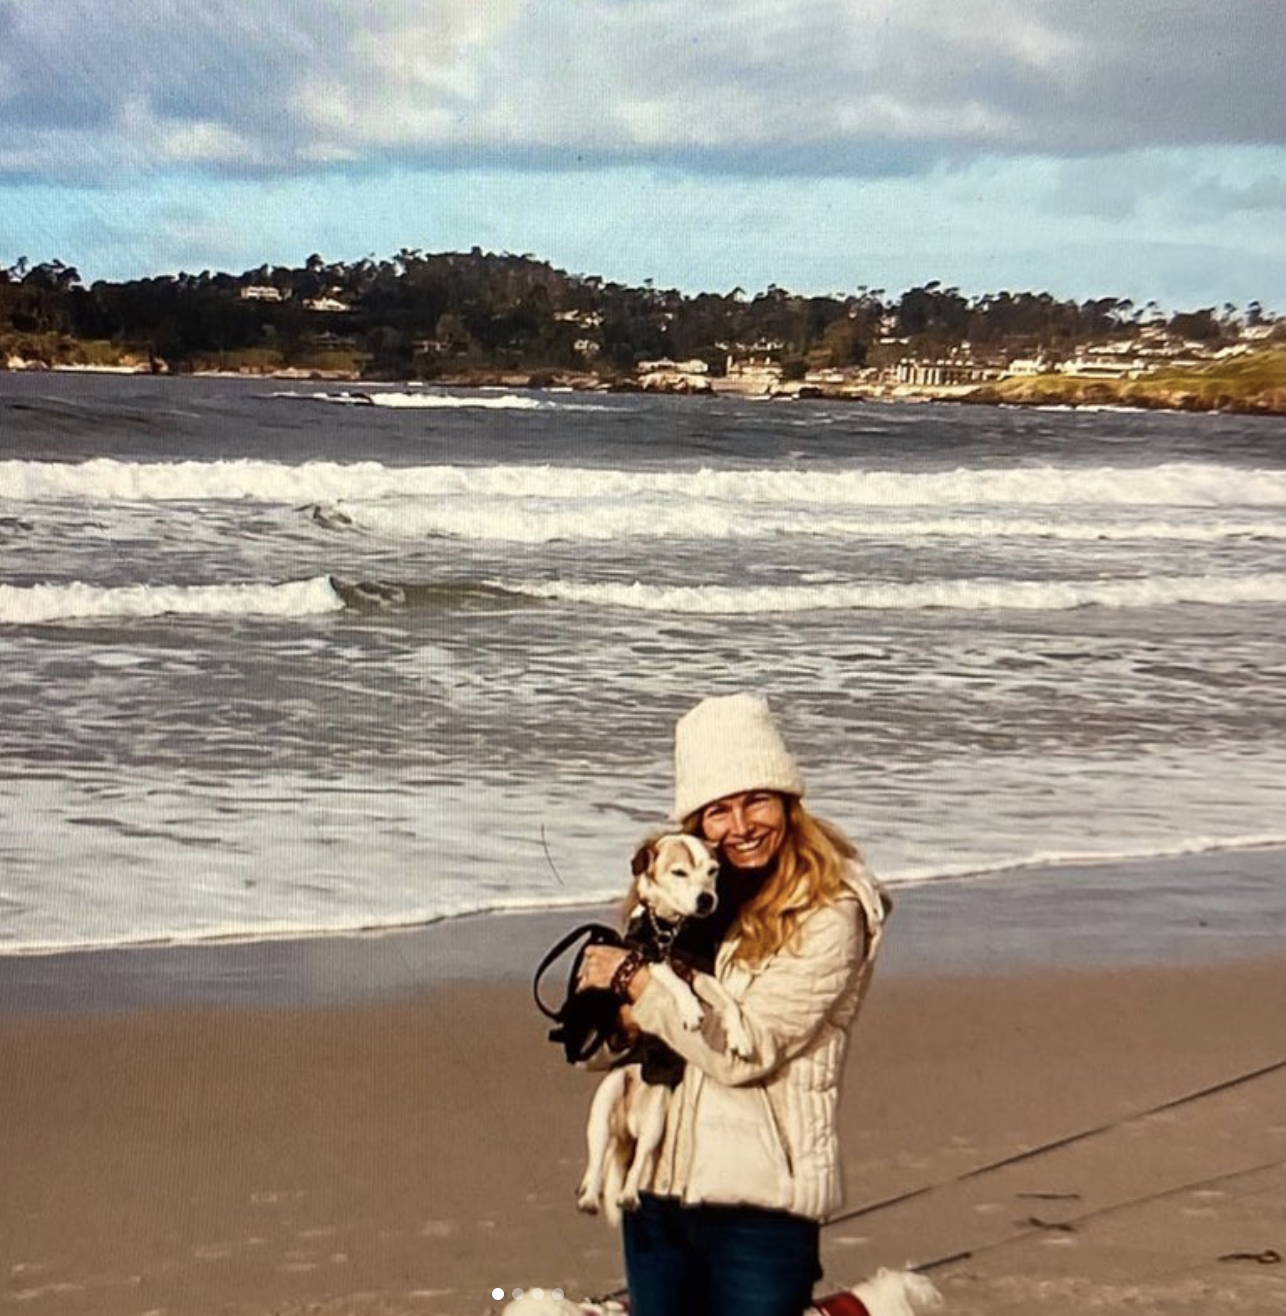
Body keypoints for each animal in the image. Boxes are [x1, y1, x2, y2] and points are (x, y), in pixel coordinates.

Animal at [573, 831, 752, 1221]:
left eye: (713, 871)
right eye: (679, 872)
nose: (707, 899)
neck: (672, 930)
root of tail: (628, 1122)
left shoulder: (700, 971)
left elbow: (727, 1001)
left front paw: (740, 1037)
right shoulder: (646, 957)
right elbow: (671, 978)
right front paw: (689, 1009)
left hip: (656, 1118)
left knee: (638, 1160)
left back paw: (627, 1196)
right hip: (603, 1106)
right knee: (596, 1157)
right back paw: (589, 1195)